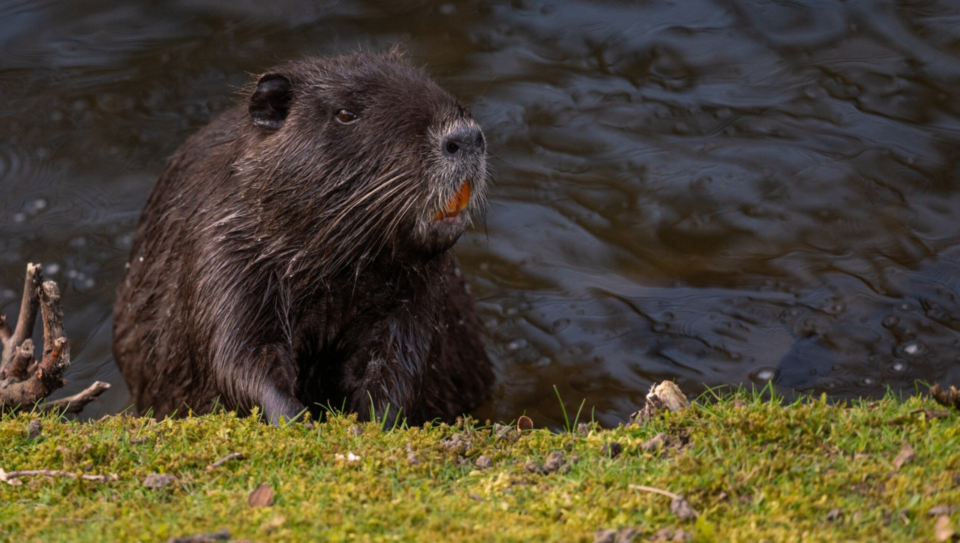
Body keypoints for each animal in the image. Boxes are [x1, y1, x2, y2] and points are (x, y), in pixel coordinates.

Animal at [112, 51, 496, 424]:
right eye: (345, 113)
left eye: (428, 81)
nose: (465, 137)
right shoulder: (220, 253)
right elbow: (238, 355)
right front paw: (295, 417)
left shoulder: (419, 291)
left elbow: (396, 361)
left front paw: (373, 420)